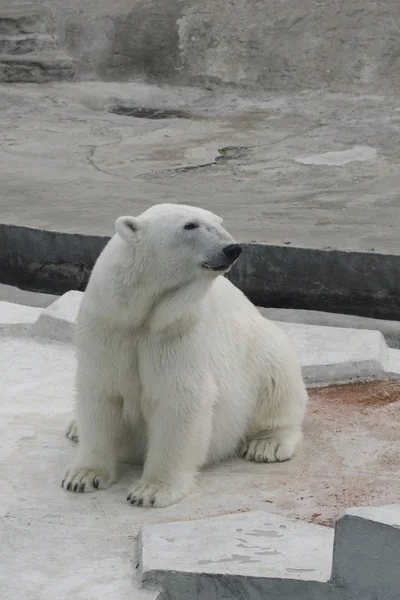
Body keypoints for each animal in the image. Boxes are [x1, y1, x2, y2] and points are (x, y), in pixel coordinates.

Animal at [61, 203, 306, 506]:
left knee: (278, 379)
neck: (143, 310)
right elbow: (101, 392)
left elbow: (178, 397)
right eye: (190, 225)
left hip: (262, 347)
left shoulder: (177, 330)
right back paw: (74, 428)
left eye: (220, 222)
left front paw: (150, 491)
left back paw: (266, 444)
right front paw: (82, 477)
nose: (232, 248)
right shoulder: (109, 324)